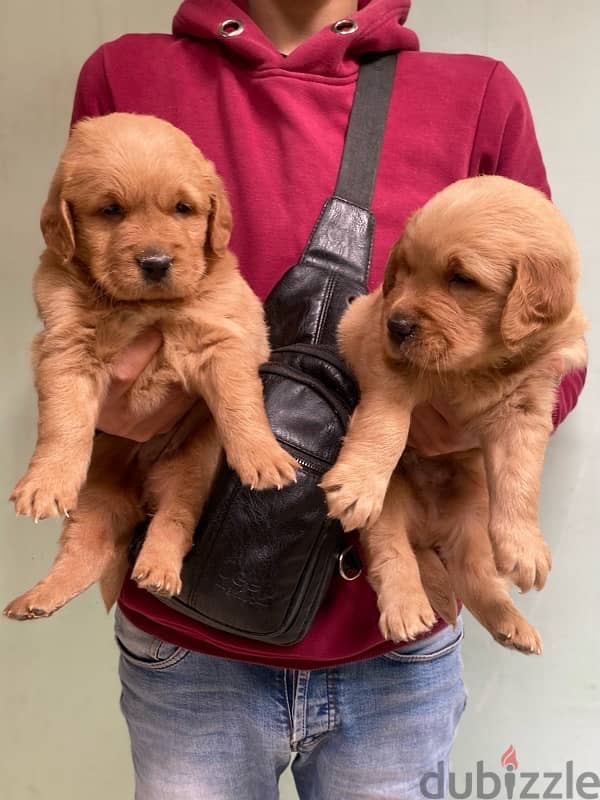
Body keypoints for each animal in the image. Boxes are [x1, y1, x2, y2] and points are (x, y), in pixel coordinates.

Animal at [2, 111, 298, 620]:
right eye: (110, 211)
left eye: (182, 208)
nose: (156, 262)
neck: (141, 307)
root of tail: (139, 495)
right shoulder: (64, 349)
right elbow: (63, 424)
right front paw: (45, 482)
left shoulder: (224, 339)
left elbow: (241, 404)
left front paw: (265, 458)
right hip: (95, 491)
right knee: (86, 549)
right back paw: (37, 598)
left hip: (190, 467)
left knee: (174, 519)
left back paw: (157, 568)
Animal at [322, 178, 588, 652]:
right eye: (404, 271)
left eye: (461, 279)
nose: (397, 325)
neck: (477, 367)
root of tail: (426, 533)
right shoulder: (382, 358)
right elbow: (386, 427)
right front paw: (357, 483)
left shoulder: (527, 407)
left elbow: (520, 478)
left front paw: (524, 547)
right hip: (390, 511)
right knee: (391, 553)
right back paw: (407, 608)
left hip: (474, 522)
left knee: (473, 574)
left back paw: (511, 624)